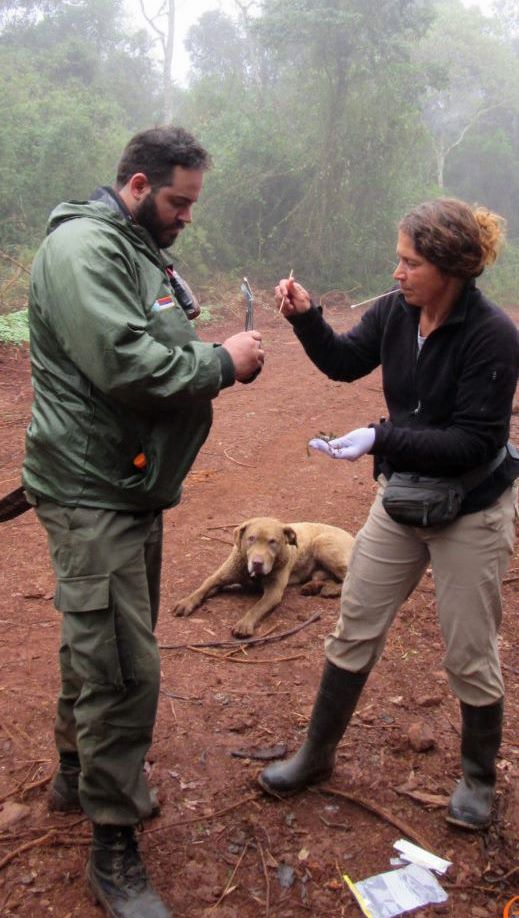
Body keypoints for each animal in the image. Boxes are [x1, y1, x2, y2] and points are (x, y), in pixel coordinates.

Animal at [175, 516, 358, 640]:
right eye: (251, 539)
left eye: (273, 542)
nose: (257, 563)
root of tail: (353, 537)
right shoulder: (221, 576)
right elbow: (203, 586)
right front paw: (186, 602)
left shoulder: (273, 592)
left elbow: (257, 607)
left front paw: (244, 624)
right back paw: (313, 587)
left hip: (324, 543)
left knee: (348, 577)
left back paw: (330, 590)